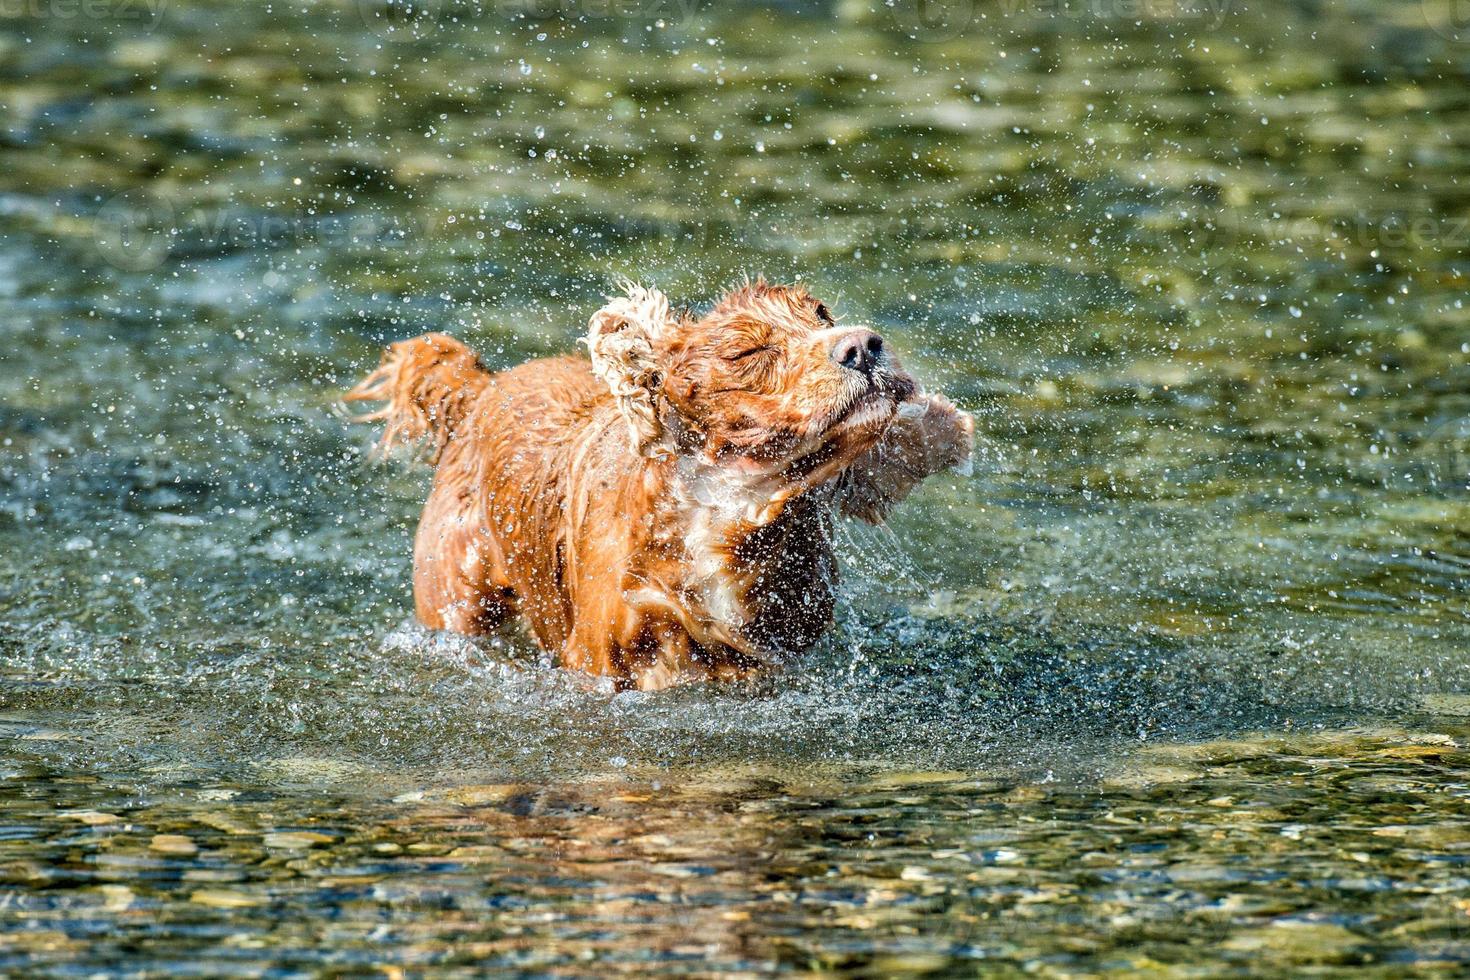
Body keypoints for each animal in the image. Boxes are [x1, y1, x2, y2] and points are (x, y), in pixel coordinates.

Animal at [346, 277, 976, 690]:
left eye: (822, 314)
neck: (722, 523)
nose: (863, 345)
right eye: (748, 351)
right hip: (455, 598)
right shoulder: (602, 650)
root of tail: (485, 386)